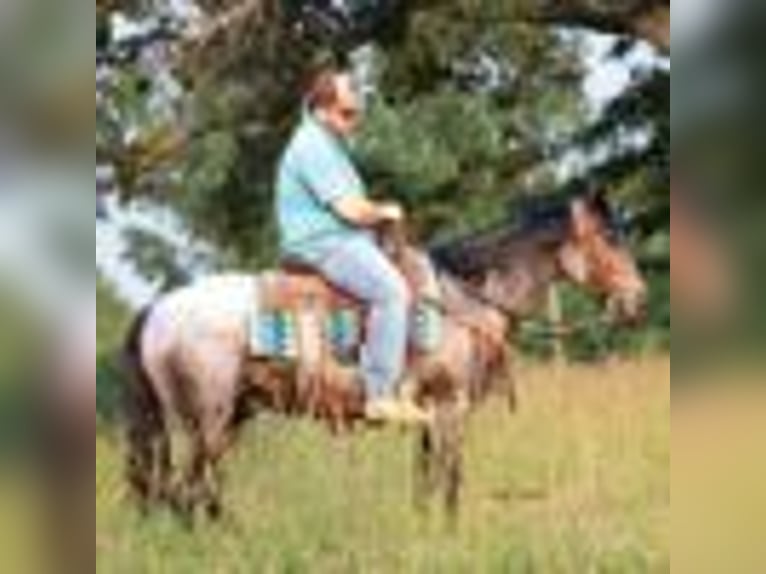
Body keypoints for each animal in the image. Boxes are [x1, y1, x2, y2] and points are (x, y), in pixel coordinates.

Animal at [122, 194, 647, 522]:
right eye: (610, 238)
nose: (637, 299)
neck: (461, 299)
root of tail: (158, 308)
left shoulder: (428, 413)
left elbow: (425, 482)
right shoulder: (451, 406)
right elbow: (450, 480)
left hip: (230, 417)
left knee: (193, 494)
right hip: (204, 420)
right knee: (186, 494)